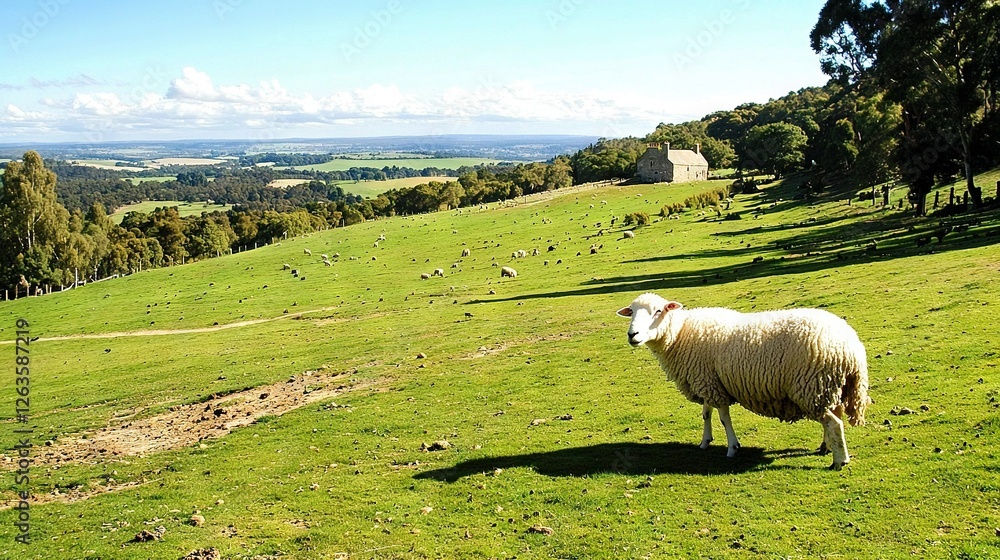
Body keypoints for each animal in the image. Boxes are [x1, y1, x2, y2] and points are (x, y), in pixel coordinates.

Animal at [617, 292, 869, 470]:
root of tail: (851, 348)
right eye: (632, 312)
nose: (632, 335)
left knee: (834, 423)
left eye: (658, 311)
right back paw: (826, 447)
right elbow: (706, 414)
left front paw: (732, 448)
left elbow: (723, 417)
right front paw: (705, 442)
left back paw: (840, 461)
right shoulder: (708, 380)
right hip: (829, 387)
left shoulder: (712, 385)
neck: (681, 334)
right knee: (833, 417)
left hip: (811, 387)